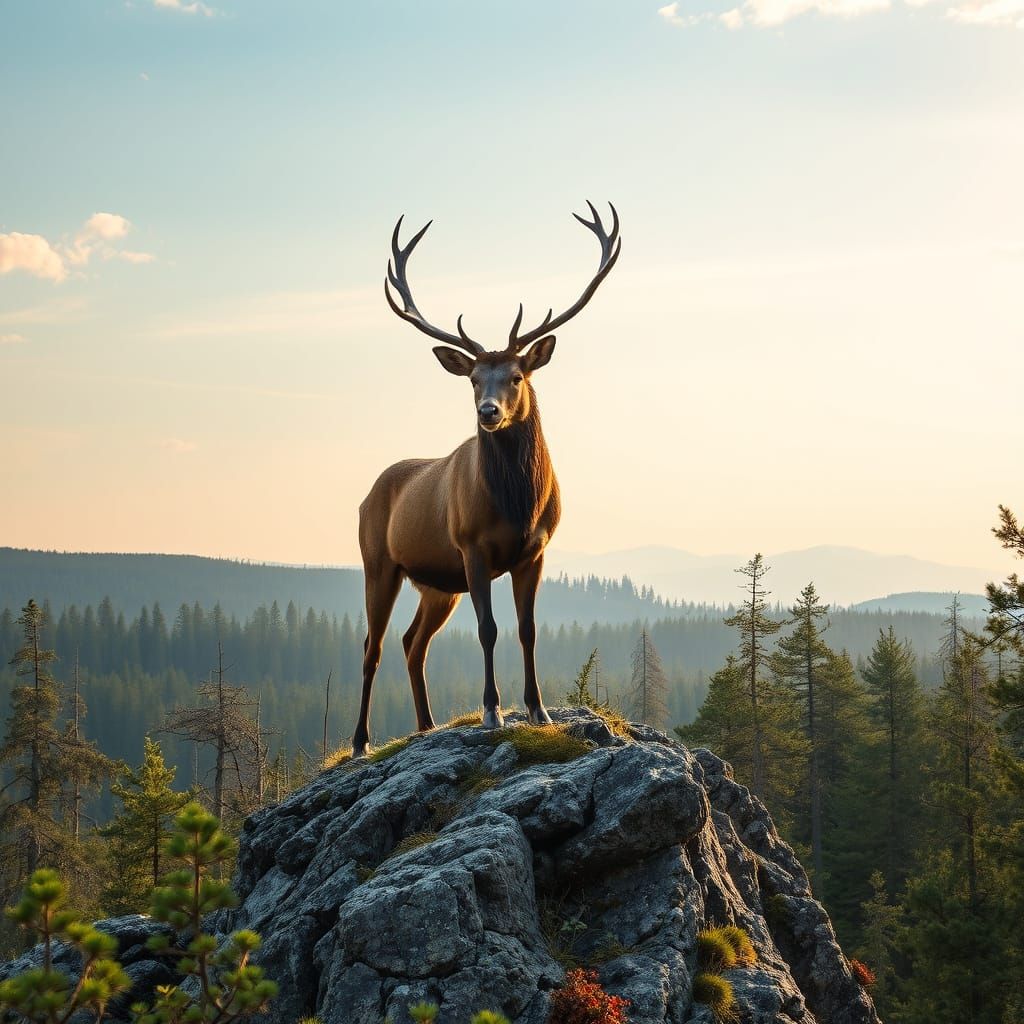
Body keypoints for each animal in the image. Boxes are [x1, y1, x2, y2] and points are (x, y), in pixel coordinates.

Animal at [351, 202, 621, 757]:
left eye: (516, 376)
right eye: (474, 379)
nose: (488, 412)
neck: (520, 504)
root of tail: (366, 495)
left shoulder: (535, 550)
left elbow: (527, 628)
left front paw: (538, 709)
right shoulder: (472, 546)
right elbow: (489, 628)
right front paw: (492, 711)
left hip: (437, 583)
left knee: (413, 643)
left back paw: (426, 725)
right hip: (379, 561)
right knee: (373, 645)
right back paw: (361, 741)